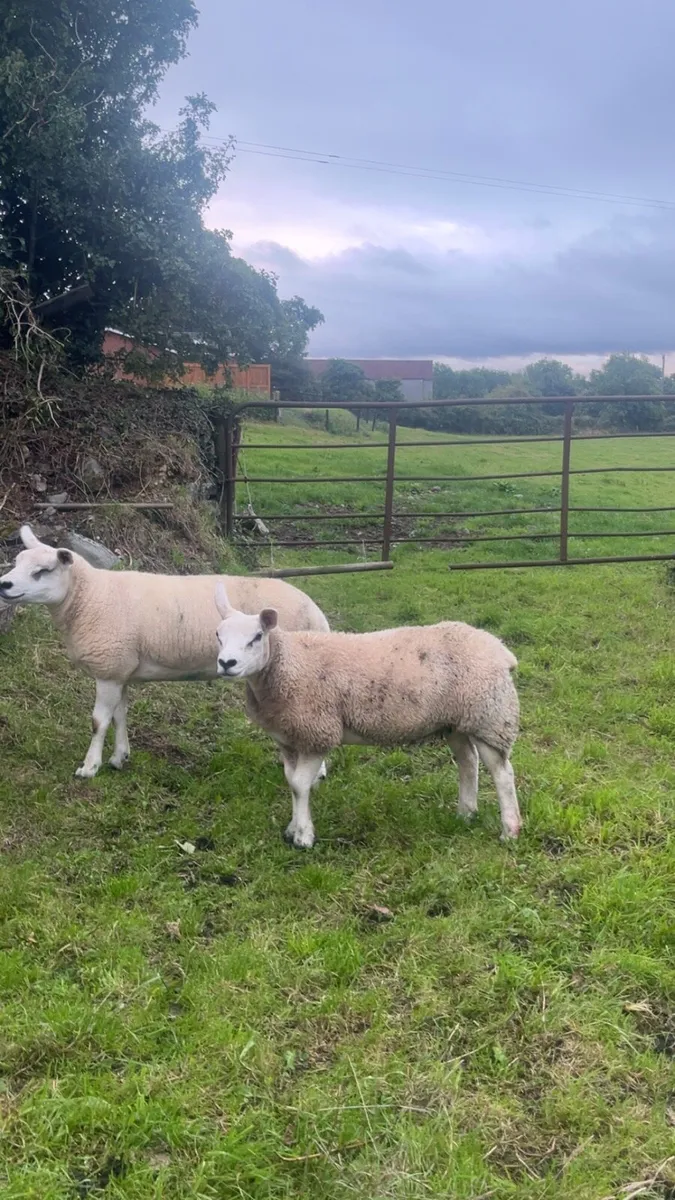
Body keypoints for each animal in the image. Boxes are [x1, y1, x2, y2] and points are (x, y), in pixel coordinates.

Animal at [0, 525, 329, 779]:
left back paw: (317, 771)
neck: (88, 597)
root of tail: (315, 611)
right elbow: (120, 715)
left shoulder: (108, 669)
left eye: (43, 571)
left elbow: (98, 722)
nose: (4, 584)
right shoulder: (121, 669)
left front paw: (89, 767)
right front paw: (119, 758)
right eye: (17, 562)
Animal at [213, 584, 521, 849]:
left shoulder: (318, 732)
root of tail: (500, 649)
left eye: (256, 637)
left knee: (502, 773)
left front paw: (303, 836)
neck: (285, 664)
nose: (226, 663)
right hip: (455, 722)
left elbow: (300, 785)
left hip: (490, 717)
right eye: (218, 635)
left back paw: (510, 830)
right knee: (468, 762)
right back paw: (465, 814)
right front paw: (292, 828)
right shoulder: (288, 738)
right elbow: (291, 781)